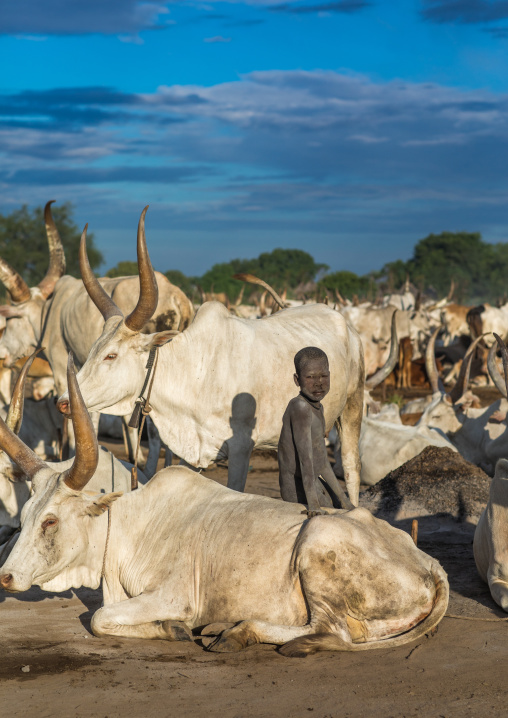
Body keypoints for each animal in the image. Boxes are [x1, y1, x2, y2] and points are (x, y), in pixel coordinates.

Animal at [0, 354, 449, 656]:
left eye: (51, 521)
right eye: (24, 518)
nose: (6, 576)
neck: (124, 526)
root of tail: (429, 564)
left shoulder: (175, 597)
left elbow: (99, 618)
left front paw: (174, 630)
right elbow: (103, 617)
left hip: (317, 541)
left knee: (332, 631)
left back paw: (238, 632)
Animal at [57, 218, 365, 505]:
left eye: (111, 355)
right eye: (94, 349)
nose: (63, 402)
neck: (197, 373)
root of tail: (345, 324)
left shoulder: (241, 449)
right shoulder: (191, 453)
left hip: (352, 407)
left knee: (351, 468)